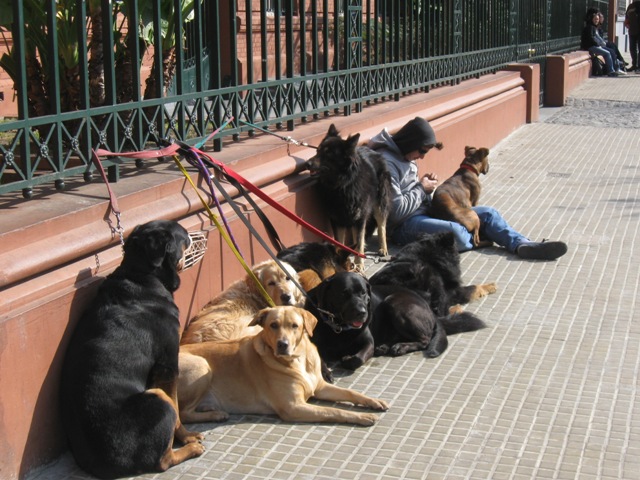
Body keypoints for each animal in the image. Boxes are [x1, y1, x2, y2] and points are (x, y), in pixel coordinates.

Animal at [59, 219, 204, 478]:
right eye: (184, 236)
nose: (196, 233)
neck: (141, 274)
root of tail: (106, 466)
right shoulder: (168, 365)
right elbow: (177, 410)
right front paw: (187, 437)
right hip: (157, 399)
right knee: (162, 460)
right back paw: (190, 450)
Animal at [176, 306, 390, 426]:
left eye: (295, 326)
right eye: (273, 325)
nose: (282, 344)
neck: (298, 360)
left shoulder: (319, 386)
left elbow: (351, 393)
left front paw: (373, 401)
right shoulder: (293, 407)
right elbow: (333, 411)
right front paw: (362, 417)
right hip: (202, 365)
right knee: (183, 414)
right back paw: (216, 414)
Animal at [308, 124, 392, 266]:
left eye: (328, 154)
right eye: (318, 151)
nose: (307, 164)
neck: (343, 184)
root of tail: (375, 152)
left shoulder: (361, 217)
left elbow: (359, 241)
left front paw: (359, 265)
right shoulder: (337, 219)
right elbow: (340, 242)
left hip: (379, 203)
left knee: (381, 226)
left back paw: (383, 248)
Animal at [308, 270, 488, 378]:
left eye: (363, 293)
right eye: (343, 294)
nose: (362, 312)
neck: (340, 328)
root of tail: (428, 308)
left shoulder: (368, 342)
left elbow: (357, 359)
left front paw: (347, 358)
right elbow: (318, 359)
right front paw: (325, 372)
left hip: (394, 302)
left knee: (425, 339)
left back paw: (400, 347)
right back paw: (385, 347)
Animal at [368, 232, 498, 316]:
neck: (429, 256)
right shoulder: (453, 290)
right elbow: (473, 287)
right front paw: (489, 286)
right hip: (432, 280)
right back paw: (456, 309)